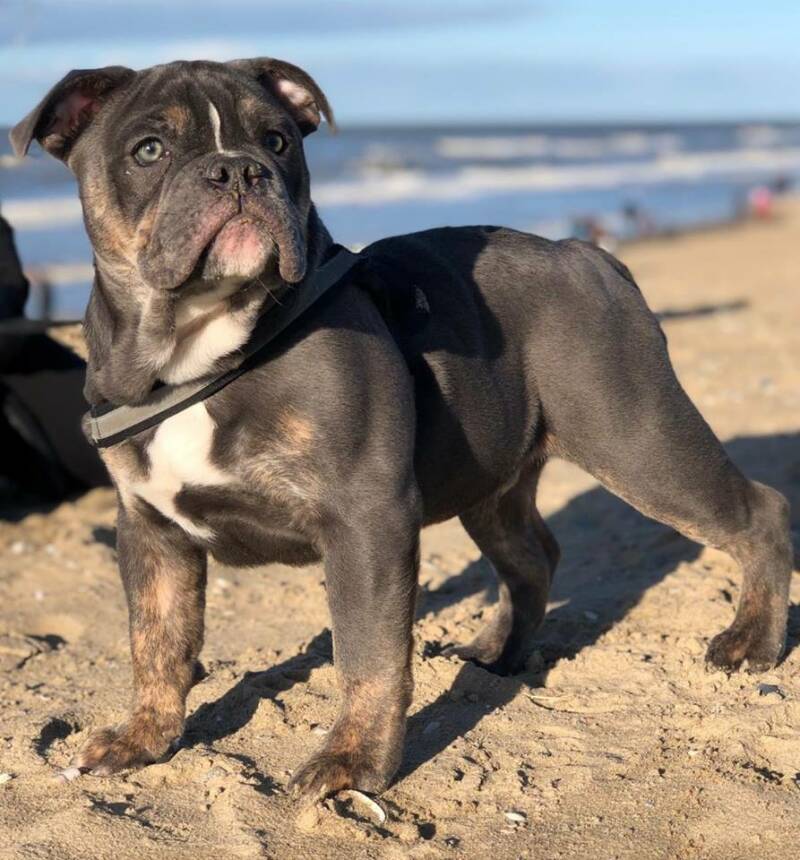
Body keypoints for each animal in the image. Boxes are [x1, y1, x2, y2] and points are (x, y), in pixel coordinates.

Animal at [11, 58, 793, 802]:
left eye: (279, 142)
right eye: (149, 150)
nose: (238, 168)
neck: (201, 346)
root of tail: (588, 252)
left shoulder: (366, 521)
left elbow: (368, 653)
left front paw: (352, 762)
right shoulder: (150, 531)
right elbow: (157, 641)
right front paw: (144, 738)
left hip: (636, 439)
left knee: (760, 511)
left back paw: (751, 642)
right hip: (494, 485)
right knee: (531, 555)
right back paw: (501, 653)